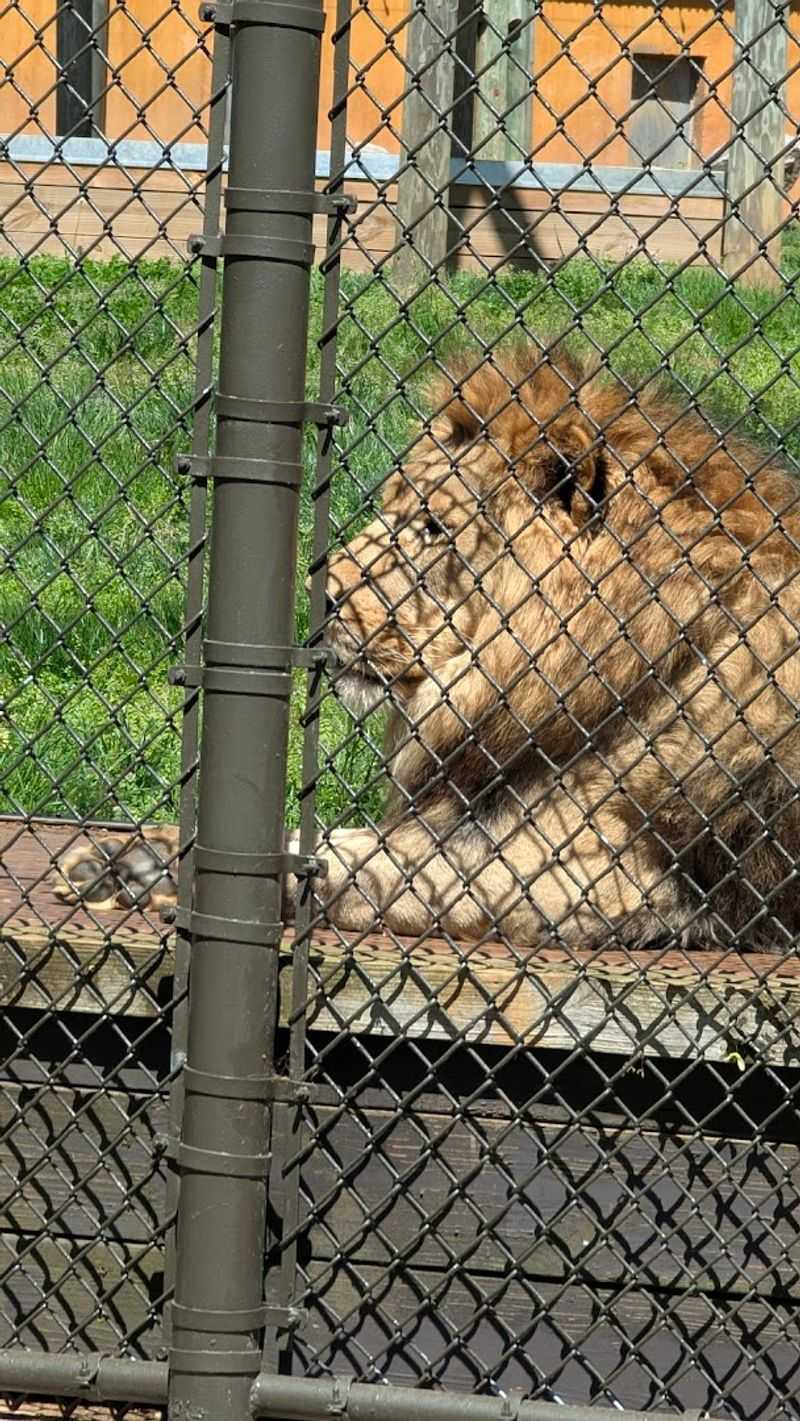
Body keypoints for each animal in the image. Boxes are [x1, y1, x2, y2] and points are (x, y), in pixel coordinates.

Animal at [56, 346, 800, 952]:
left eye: (432, 527)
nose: (321, 593)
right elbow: (339, 838)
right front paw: (131, 861)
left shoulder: (615, 869)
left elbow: (379, 866)